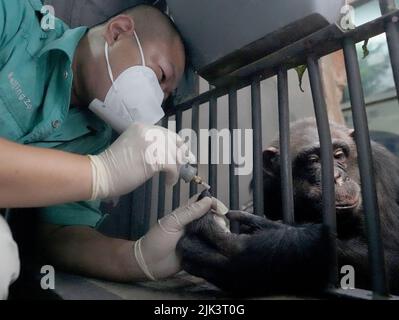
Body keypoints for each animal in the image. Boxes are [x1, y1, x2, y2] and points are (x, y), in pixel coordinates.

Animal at [178, 119, 399, 296]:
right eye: (313, 160)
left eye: (338, 155)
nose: (336, 177)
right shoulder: (266, 183)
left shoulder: (379, 170)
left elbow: (389, 257)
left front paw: (262, 247)